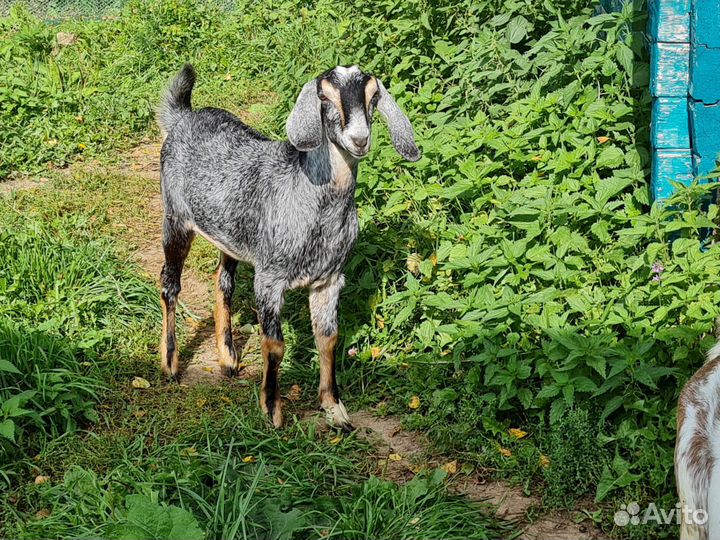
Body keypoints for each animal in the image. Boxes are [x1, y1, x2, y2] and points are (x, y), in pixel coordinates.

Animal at [156, 64, 420, 430]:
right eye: (324, 97)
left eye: (373, 97)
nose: (359, 139)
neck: (312, 202)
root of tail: (183, 116)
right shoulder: (269, 278)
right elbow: (275, 344)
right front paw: (271, 409)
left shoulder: (329, 279)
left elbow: (329, 338)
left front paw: (335, 410)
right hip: (176, 218)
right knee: (169, 284)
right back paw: (169, 364)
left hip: (230, 234)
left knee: (222, 280)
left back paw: (228, 358)